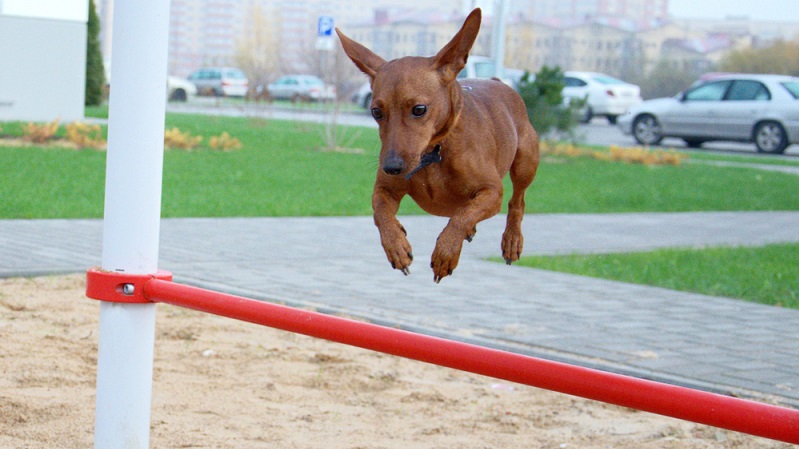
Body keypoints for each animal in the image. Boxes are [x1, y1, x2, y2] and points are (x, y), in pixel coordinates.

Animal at [334, 8, 540, 282]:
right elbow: (380, 212)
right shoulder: (384, 189)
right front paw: (396, 246)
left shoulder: (492, 192)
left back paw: (511, 240)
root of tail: (496, 80)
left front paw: (446, 252)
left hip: (525, 163)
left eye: (419, 109)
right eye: (376, 112)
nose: (391, 167)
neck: (435, 154)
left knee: (518, 201)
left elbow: (462, 216)